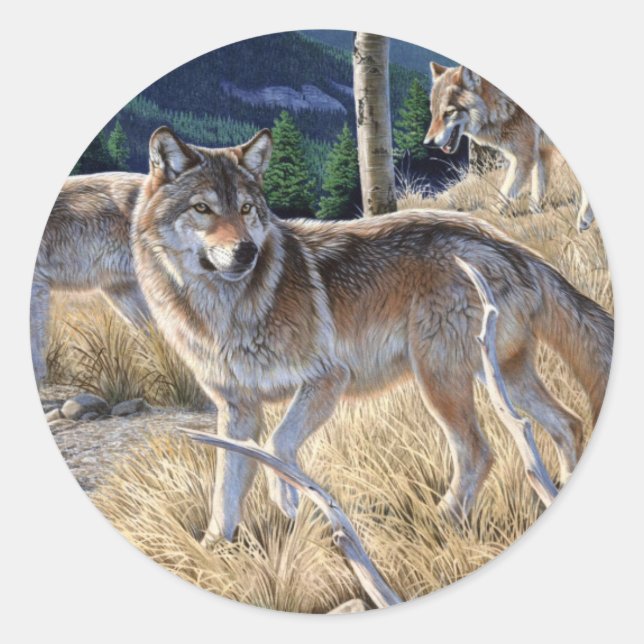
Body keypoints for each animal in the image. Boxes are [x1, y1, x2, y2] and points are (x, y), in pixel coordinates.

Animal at [131, 126, 613, 549]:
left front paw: (287, 498)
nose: (246, 251)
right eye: (203, 209)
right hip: (501, 375)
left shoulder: (328, 379)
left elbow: (277, 445)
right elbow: (225, 490)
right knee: (567, 421)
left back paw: (442, 520)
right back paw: (556, 491)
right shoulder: (237, 409)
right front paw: (213, 548)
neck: (225, 309)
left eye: (247, 209)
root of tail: (509, 244)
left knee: (480, 452)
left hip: (440, 380)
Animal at [424, 62, 594, 228]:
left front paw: (486, 218)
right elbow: (538, 186)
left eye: (449, 112)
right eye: (433, 112)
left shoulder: (524, 156)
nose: (428, 143)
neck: (503, 106)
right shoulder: (539, 152)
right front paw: (535, 211)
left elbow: (504, 193)